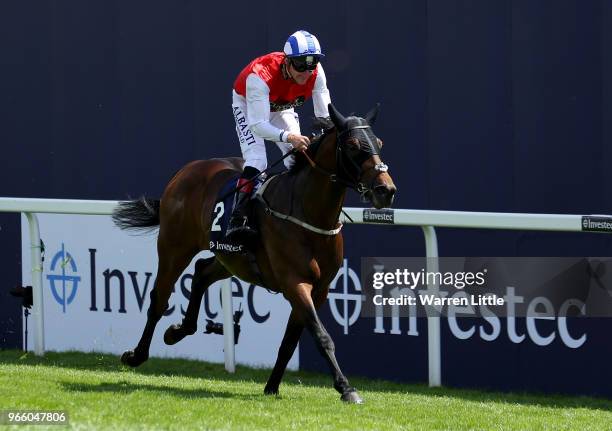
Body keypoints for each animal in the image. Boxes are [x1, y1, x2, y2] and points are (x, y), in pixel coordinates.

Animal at [111, 104, 396, 404]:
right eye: (353, 145)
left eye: (379, 143)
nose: (385, 190)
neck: (307, 213)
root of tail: (187, 170)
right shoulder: (295, 283)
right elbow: (321, 336)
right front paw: (346, 388)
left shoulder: (320, 289)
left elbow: (290, 341)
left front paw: (272, 386)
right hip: (174, 248)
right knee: (159, 298)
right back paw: (136, 355)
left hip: (230, 258)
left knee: (201, 272)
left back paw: (178, 330)